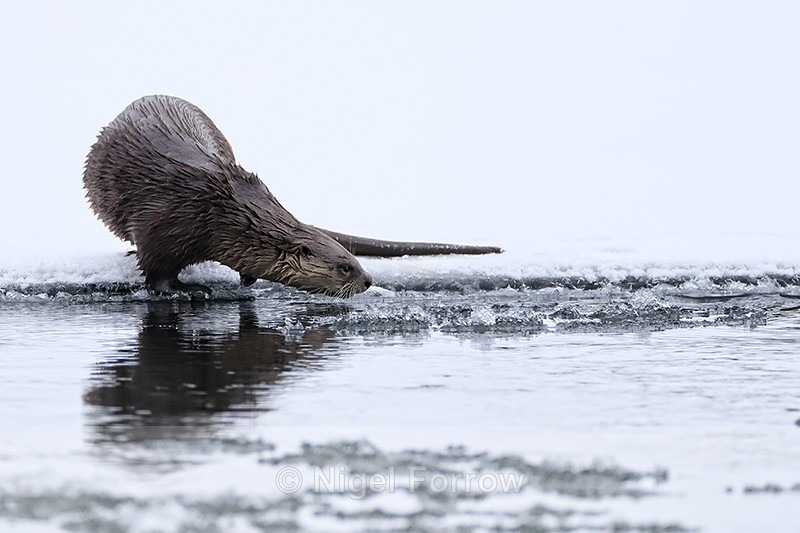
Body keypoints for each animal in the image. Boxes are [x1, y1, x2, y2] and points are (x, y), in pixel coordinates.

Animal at [83, 95, 501, 297]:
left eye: (353, 260)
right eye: (345, 267)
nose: (368, 280)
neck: (220, 214)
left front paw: (247, 277)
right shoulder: (167, 223)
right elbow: (157, 271)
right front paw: (188, 291)